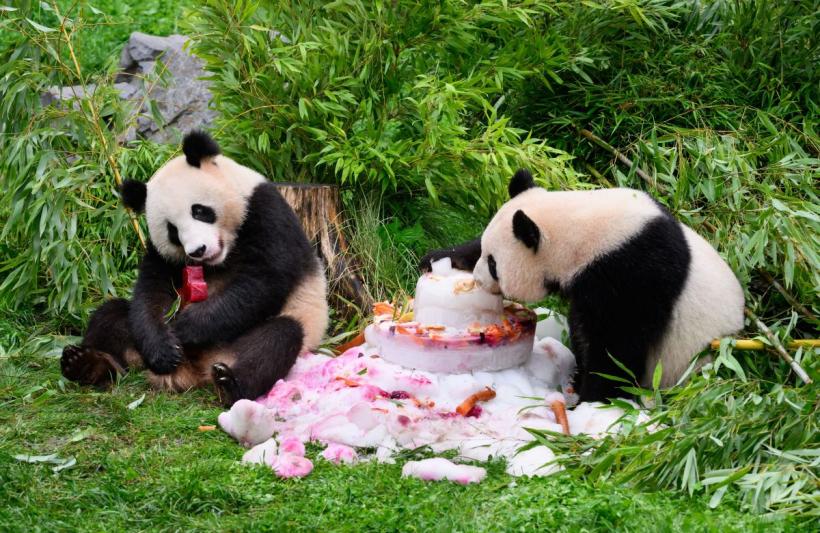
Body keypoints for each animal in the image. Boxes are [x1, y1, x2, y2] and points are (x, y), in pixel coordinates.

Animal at [60, 131, 328, 407]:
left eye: (199, 211)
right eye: (172, 231)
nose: (198, 250)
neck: (221, 257)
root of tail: (192, 374)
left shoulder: (267, 213)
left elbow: (263, 281)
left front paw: (185, 326)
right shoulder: (161, 253)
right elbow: (151, 290)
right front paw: (164, 347)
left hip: (246, 343)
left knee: (278, 338)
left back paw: (229, 384)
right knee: (111, 314)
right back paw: (87, 364)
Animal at [422, 169, 744, 402]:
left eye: (493, 265)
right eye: (485, 254)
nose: (477, 280)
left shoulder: (633, 275)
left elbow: (618, 344)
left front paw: (593, 398)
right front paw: (439, 258)